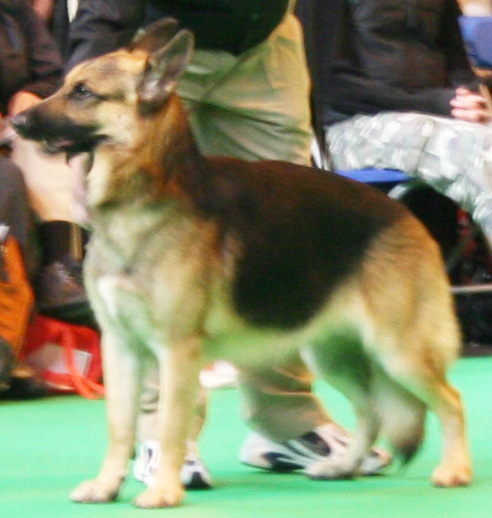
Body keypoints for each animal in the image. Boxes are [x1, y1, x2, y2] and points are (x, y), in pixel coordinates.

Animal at [13, 19, 470, 508]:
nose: (16, 122)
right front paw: (106, 485)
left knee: (450, 400)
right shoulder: (121, 349)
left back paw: (455, 469)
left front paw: (165, 490)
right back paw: (344, 466)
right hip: (332, 354)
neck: (142, 198)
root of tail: (404, 213)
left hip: (398, 352)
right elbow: (119, 427)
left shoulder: (176, 352)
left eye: (82, 92)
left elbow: (171, 427)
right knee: (371, 410)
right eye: (65, 85)